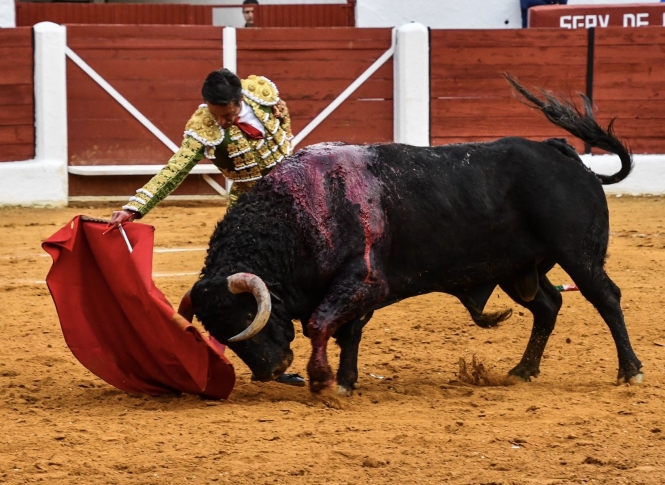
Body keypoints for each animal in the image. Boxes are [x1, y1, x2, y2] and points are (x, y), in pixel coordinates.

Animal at [184, 77, 640, 392]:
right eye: (219, 330)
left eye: (246, 316)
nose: (271, 371)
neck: (299, 213)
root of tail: (563, 154)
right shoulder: (356, 290)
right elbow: (347, 331)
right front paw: (345, 381)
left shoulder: (362, 280)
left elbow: (321, 325)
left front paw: (324, 382)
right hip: (516, 269)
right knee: (547, 306)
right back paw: (522, 370)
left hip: (578, 255)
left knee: (606, 297)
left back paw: (629, 370)